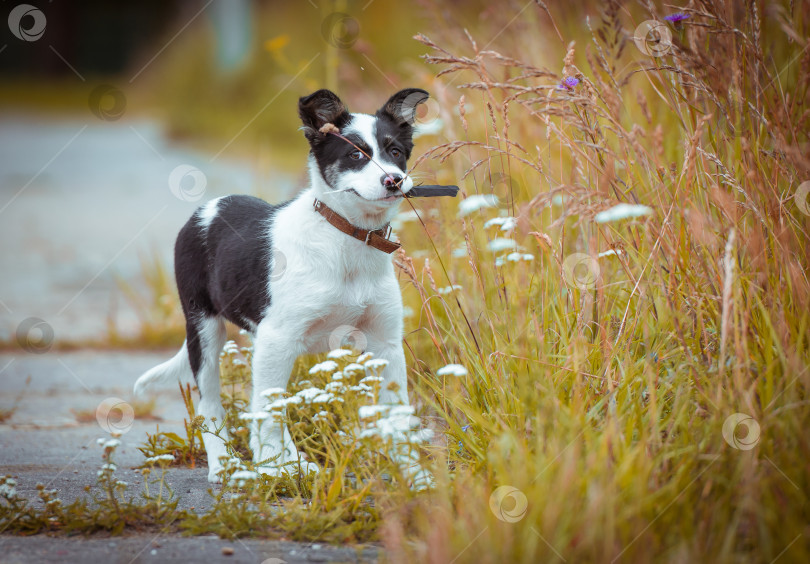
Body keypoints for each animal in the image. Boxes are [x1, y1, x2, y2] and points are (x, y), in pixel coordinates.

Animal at [136, 89, 426, 484]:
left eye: (395, 151)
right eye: (355, 155)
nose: (394, 181)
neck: (347, 238)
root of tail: (208, 208)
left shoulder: (385, 343)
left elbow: (398, 413)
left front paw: (414, 475)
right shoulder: (279, 337)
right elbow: (268, 409)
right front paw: (272, 467)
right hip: (204, 328)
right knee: (212, 403)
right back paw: (225, 464)